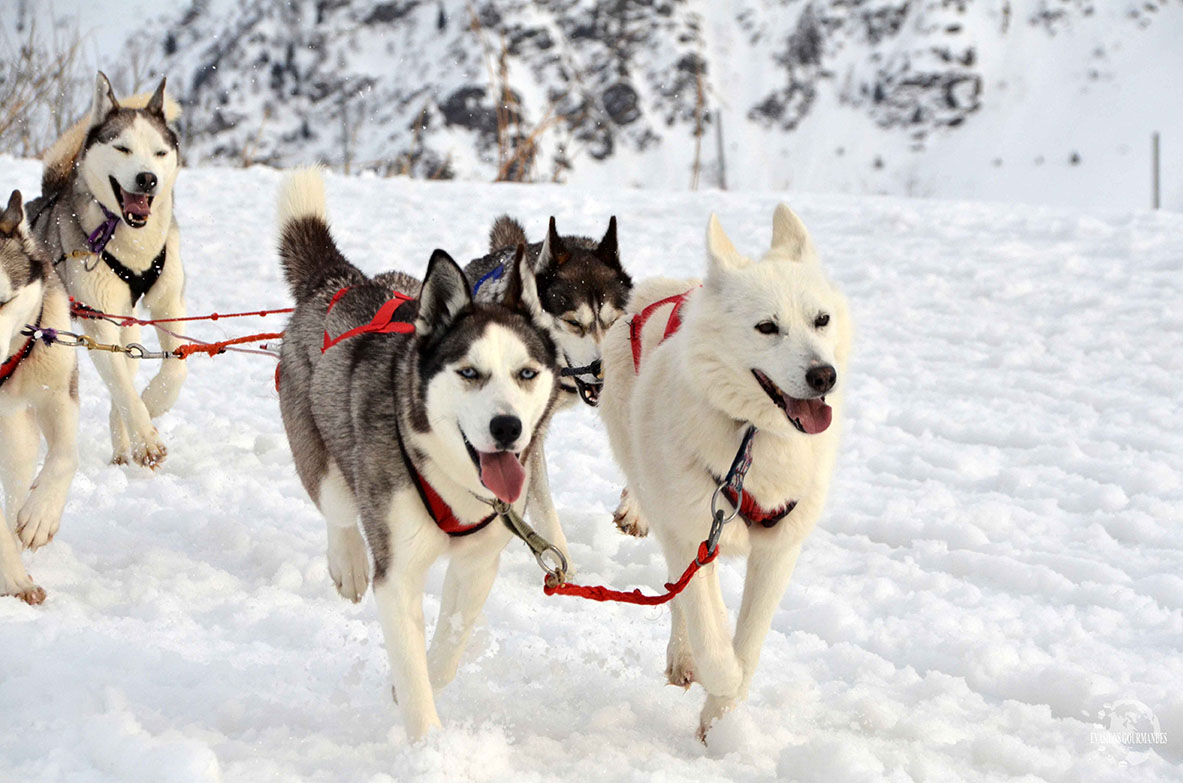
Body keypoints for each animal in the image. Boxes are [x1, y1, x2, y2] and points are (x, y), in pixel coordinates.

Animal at [27, 72, 185, 466]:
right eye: (123, 149)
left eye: (160, 153)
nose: (147, 178)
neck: (134, 249)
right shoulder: (99, 322)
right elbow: (125, 391)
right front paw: (146, 438)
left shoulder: (169, 304)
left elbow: (175, 370)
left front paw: (152, 404)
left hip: (129, 323)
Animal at [600, 203, 851, 742]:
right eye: (767, 327)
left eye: (821, 320)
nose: (824, 375)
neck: (751, 437)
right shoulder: (694, 530)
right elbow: (712, 634)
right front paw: (722, 682)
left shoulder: (779, 549)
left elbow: (750, 640)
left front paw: (723, 718)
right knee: (677, 594)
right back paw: (682, 657)